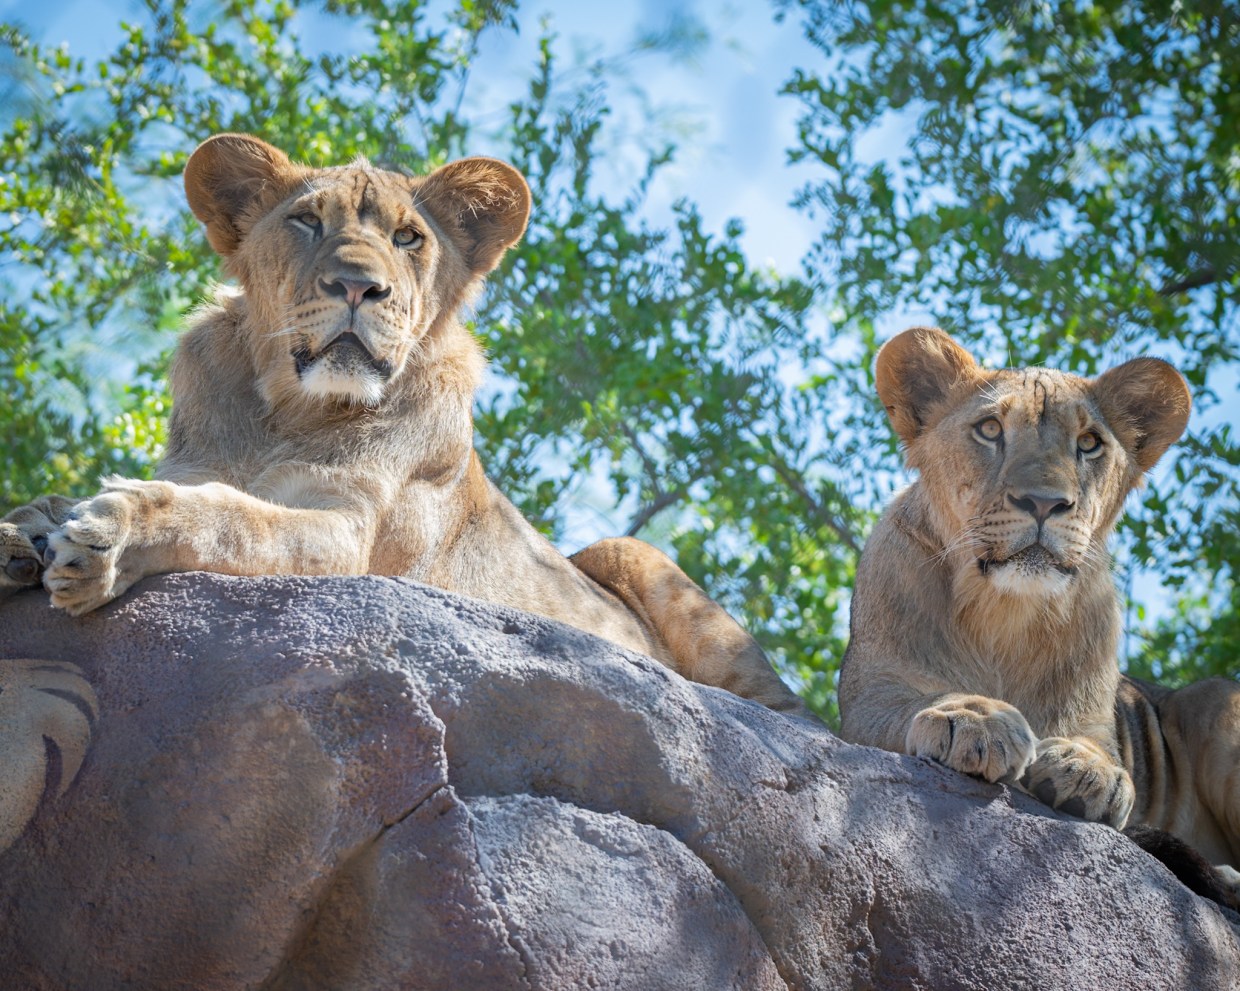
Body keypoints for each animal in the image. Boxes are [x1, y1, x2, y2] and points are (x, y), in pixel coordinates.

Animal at [839, 326, 1240, 898]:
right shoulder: (872, 691)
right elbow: (921, 697)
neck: (1003, 611)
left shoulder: (1098, 716)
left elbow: (1101, 749)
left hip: (1218, 707)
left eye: (1089, 443)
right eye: (989, 429)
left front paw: (1086, 769)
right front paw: (975, 719)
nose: (1045, 503)